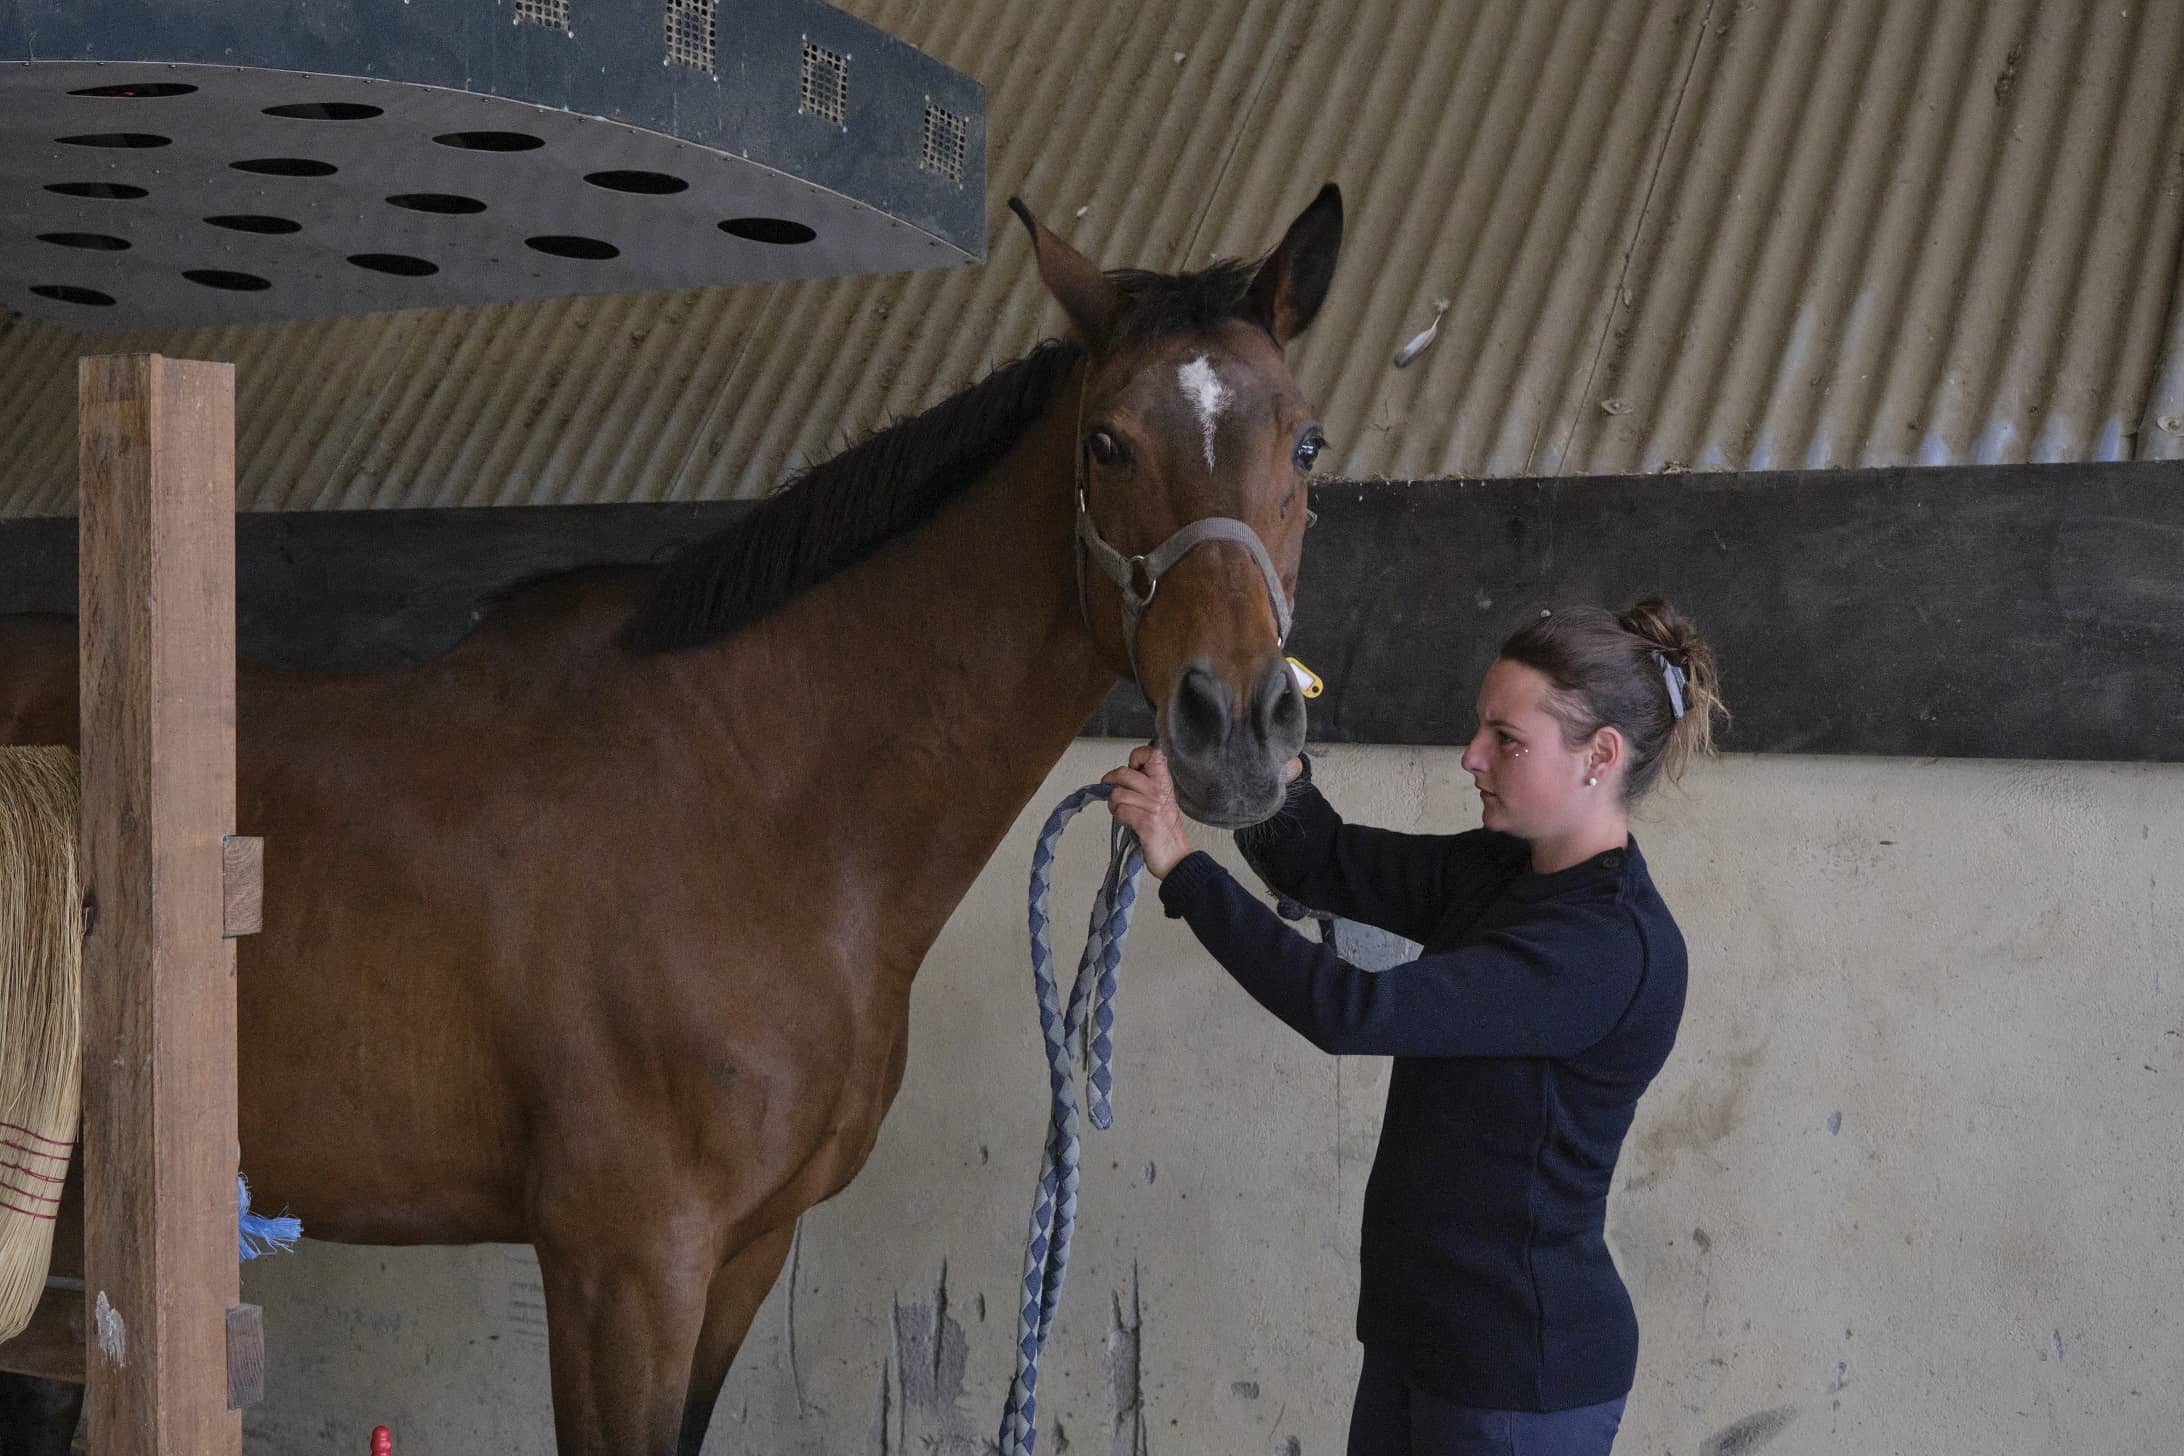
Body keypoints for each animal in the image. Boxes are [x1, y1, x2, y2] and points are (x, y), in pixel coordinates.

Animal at [0, 185, 1336, 1456]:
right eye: (1109, 443)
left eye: (1308, 441)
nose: (1237, 727)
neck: (756, 806)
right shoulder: (626, 1269)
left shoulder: (746, 1255)